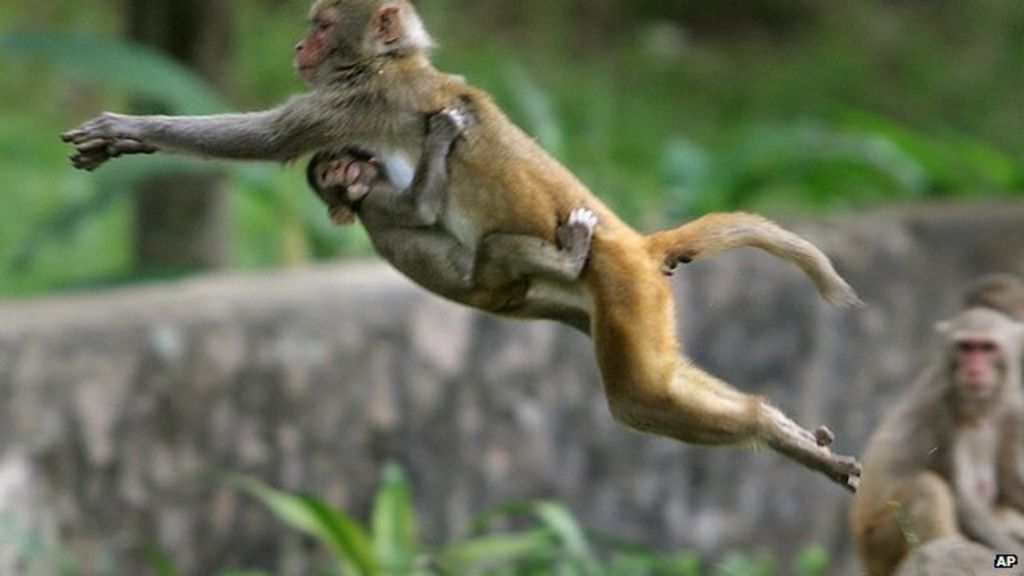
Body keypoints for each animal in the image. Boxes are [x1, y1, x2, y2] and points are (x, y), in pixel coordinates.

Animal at [62, 0, 862, 490]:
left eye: (321, 25)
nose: (297, 45)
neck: (393, 65)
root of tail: (634, 241)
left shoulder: (352, 103)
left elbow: (264, 138)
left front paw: (130, 130)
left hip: (621, 282)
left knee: (638, 397)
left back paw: (763, 425)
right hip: (618, 298)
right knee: (653, 375)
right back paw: (780, 428)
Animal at [851, 307, 1024, 576]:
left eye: (988, 347)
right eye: (965, 347)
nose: (974, 370)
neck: (976, 413)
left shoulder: (1014, 411)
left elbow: (1012, 486)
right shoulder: (937, 411)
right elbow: (962, 501)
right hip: (876, 543)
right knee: (928, 489)